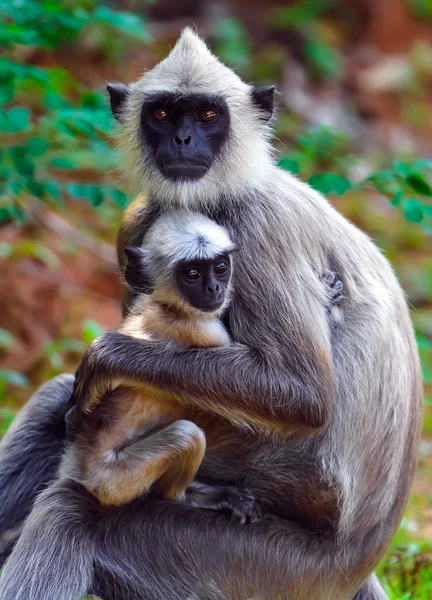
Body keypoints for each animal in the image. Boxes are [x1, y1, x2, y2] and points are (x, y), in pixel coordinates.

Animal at [63, 213, 260, 524]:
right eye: (192, 274)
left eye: (220, 268)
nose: (214, 288)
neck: (165, 308)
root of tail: (81, 466)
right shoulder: (204, 329)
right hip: (116, 480)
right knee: (186, 436)